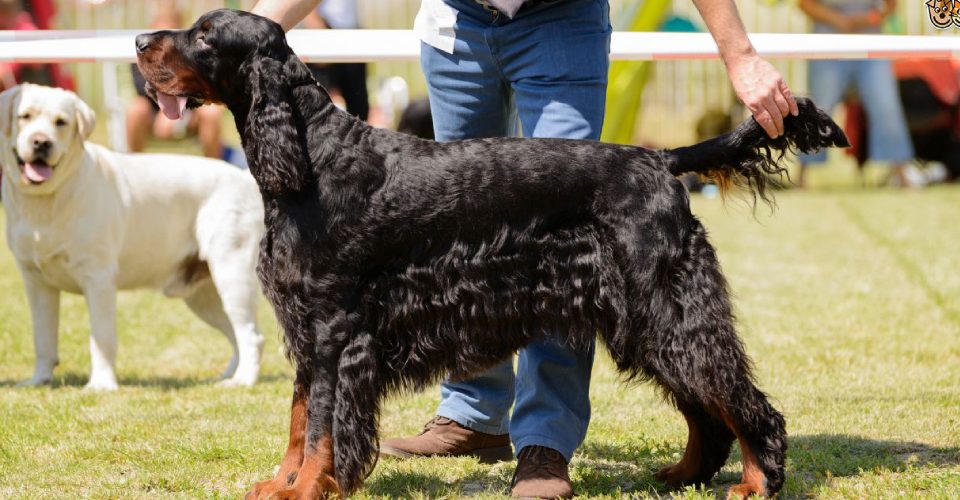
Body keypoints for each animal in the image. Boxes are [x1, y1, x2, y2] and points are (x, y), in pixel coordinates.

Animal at [1, 84, 264, 390]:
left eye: (61, 122)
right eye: (25, 116)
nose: (41, 143)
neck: (46, 201)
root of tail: (244, 178)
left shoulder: (98, 279)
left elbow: (101, 339)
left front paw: (101, 384)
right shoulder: (36, 283)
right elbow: (42, 338)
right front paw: (39, 380)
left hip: (232, 274)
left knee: (251, 335)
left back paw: (243, 380)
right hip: (203, 295)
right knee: (235, 333)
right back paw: (227, 375)